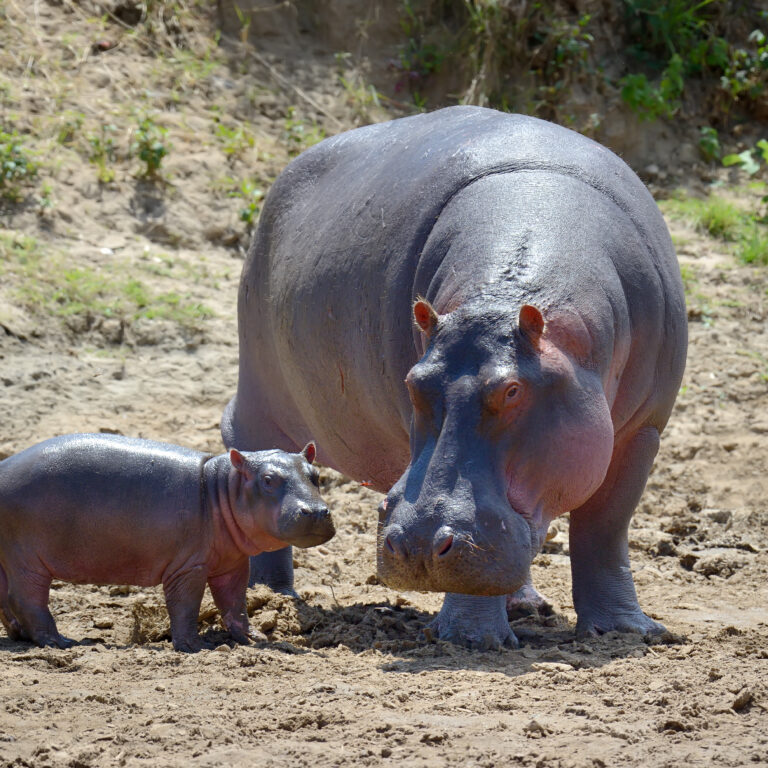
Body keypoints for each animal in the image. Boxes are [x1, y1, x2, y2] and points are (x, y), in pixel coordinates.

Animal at [0, 436, 332, 652]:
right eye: (268, 479)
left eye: (316, 475)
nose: (316, 512)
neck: (222, 488)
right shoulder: (189, 567)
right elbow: (185, 605)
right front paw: (195, 647)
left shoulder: (233, 563)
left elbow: (235, 603)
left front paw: (255, 639)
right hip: (26, 559)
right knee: (27, 599)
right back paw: (60, 643)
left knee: (7, 600)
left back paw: (21, 637)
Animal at [219, 106, 688, 648]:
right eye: (413, 382)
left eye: (512, 389)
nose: (419, 546)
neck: (501, 299)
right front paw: (471, 639)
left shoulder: (642, 431)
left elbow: (605, 528)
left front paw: (628, 631)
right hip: (260, 394)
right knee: (257, 457)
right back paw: (271, 599)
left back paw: (526, 605)